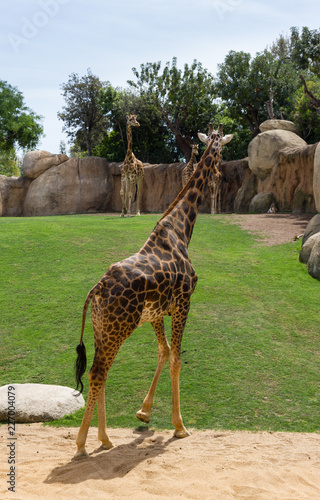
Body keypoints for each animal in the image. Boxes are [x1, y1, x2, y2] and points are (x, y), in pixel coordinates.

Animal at [74, 124, 234, 458]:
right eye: (221, 147)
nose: (221, 166)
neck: (181, 229)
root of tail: (96, 289)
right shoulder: (184, 302)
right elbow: (176, 358)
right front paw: (180, 426)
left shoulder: (157, 312)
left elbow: (164, 351)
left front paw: (144, 412)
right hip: (118, 329)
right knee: (98, 373)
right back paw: (82, 443)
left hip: (101, 329)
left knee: (101, 372)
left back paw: (105, 439)